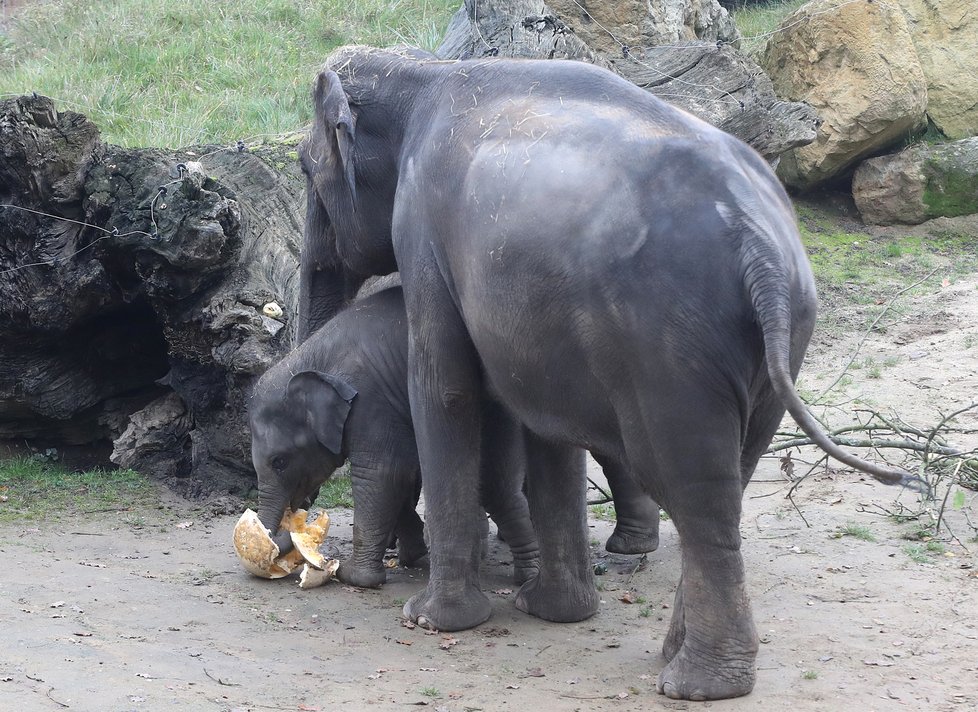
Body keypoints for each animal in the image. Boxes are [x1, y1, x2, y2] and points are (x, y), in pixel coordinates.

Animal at [248, 286, 536, 588]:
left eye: (280, 462)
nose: (275, 543)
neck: (309, 358)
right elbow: (401, 474)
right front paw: (415, 554)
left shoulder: (370, 399)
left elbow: (381, 473)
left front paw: (352, 576)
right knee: (497, 485)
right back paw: (529, 575)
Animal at [300, 46, 916, 700]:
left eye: (306, 169)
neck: (424, 72)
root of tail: (762, 251)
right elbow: (543, 423)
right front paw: (554, 612)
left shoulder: (421, 226)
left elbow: (445, 390)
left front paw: (434, 619)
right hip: (780, 340)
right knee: (727, 484)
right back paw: (678, 659)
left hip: (670, 344)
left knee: (692, 489)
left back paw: (697, 685)